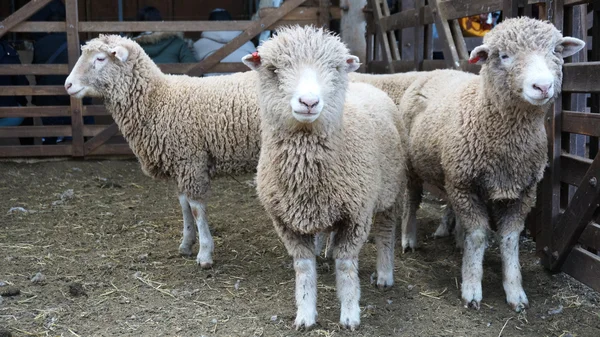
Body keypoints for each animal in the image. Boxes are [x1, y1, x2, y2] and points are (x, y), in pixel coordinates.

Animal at [64, 34, 262, 268]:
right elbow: (184, 206)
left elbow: (196, 209)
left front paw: (205, 253)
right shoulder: (179, 164)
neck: (157, 99)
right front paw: (186, 243)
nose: (67, 84)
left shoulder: (190, 160)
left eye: (101, 58)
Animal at [240, 25, 408, 328]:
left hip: (392, 192)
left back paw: (385, 275)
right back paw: (326, 250)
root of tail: (365, 84)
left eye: (336, 68)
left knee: (386, 234)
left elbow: (346, 265)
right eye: (273, 69)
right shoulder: (286, 222)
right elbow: (304, 269)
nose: (309, 102)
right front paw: (305, 314)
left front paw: (350, 313)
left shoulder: (356, 216)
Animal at [352, 17, 584, 312]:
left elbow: (510, 240)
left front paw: (515, 291)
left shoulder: (522, 192)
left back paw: (452, 235)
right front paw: (472, 288)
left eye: (556, 51)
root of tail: (436, 70)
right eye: (504, 56)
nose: (542, 87)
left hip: (451, 171)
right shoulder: (465, 185)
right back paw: (408, 237)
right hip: (415, 166)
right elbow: (478, 236)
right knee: (413, 200)